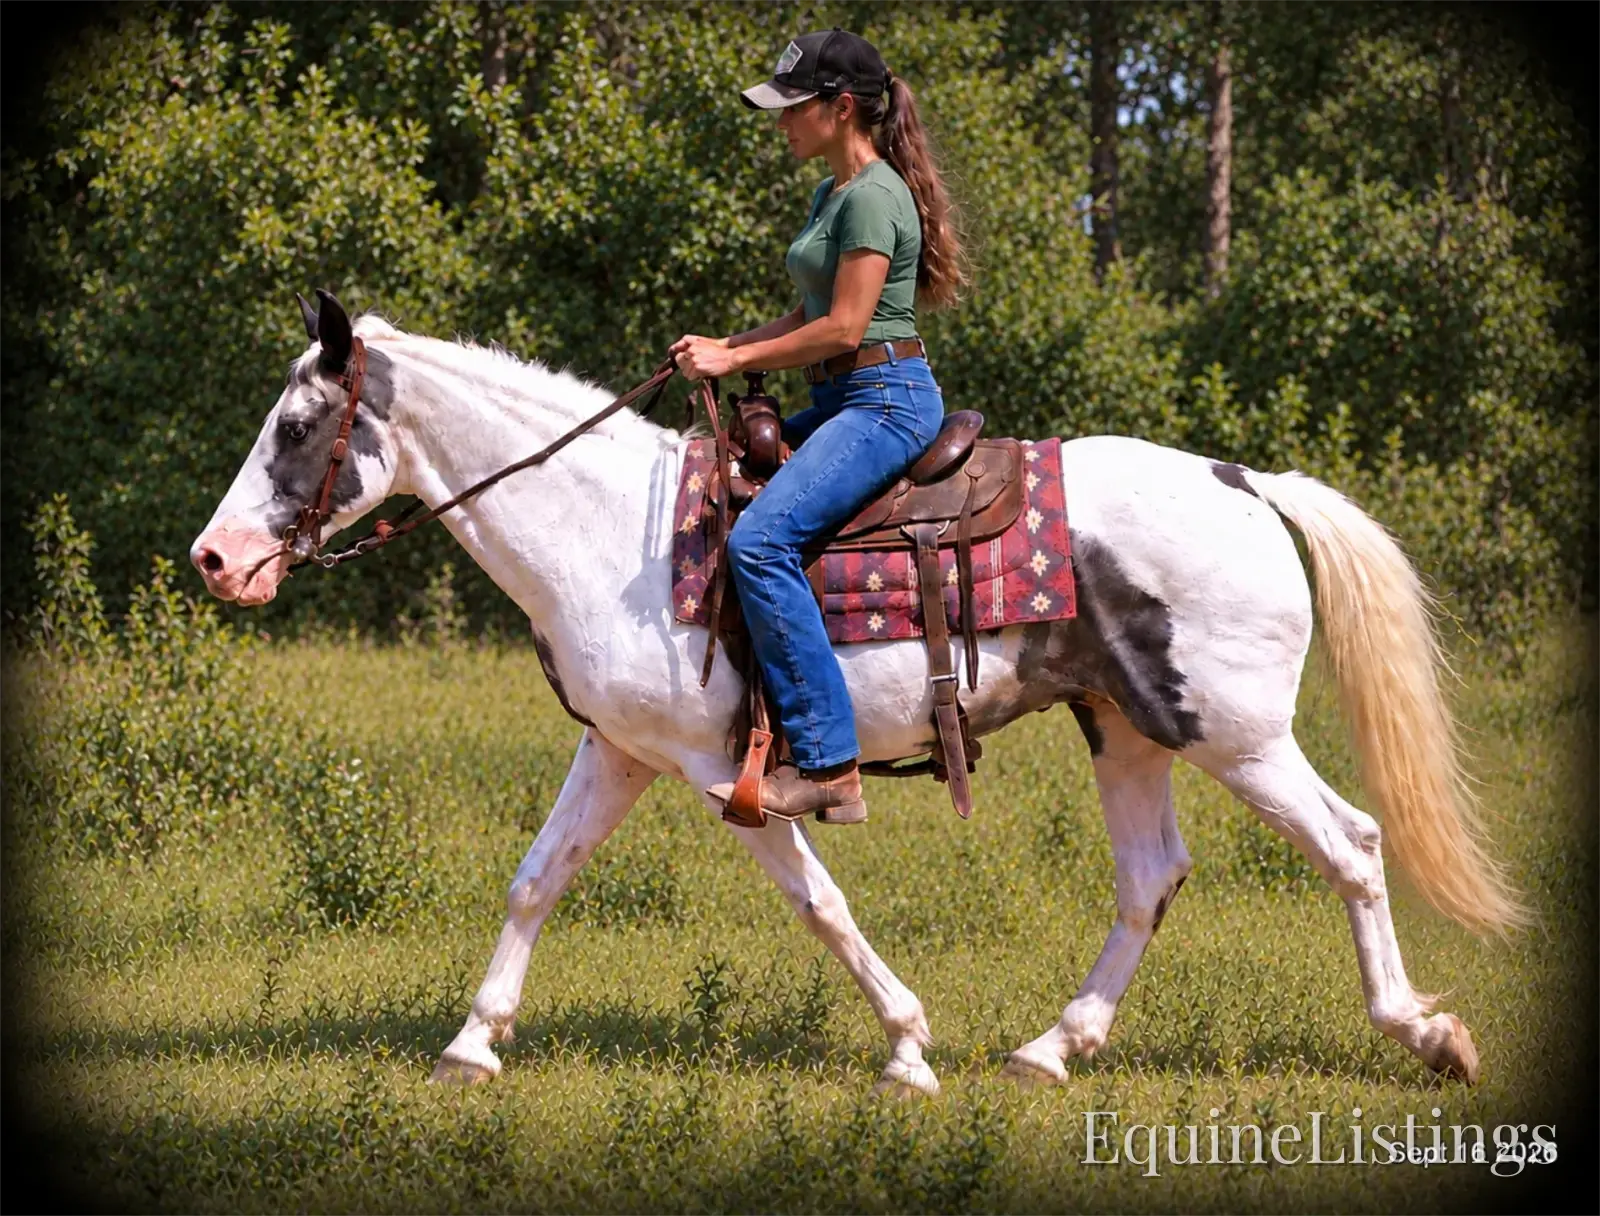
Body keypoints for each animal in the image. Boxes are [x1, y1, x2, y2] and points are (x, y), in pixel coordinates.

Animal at [191, 292, 1522, 1097]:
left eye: (299, 422)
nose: (215, 559)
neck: (609, 531)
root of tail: (1246, 481)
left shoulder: (727, 778)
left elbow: (821, 905)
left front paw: (907, 1047)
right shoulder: (619, 751)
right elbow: (536, 877)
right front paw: (472, 1042)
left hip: (1232, 731)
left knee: (1350, 844)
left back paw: (1426, 1032)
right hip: (1127, 731)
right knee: (1152, 878)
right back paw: (1051, 1048)